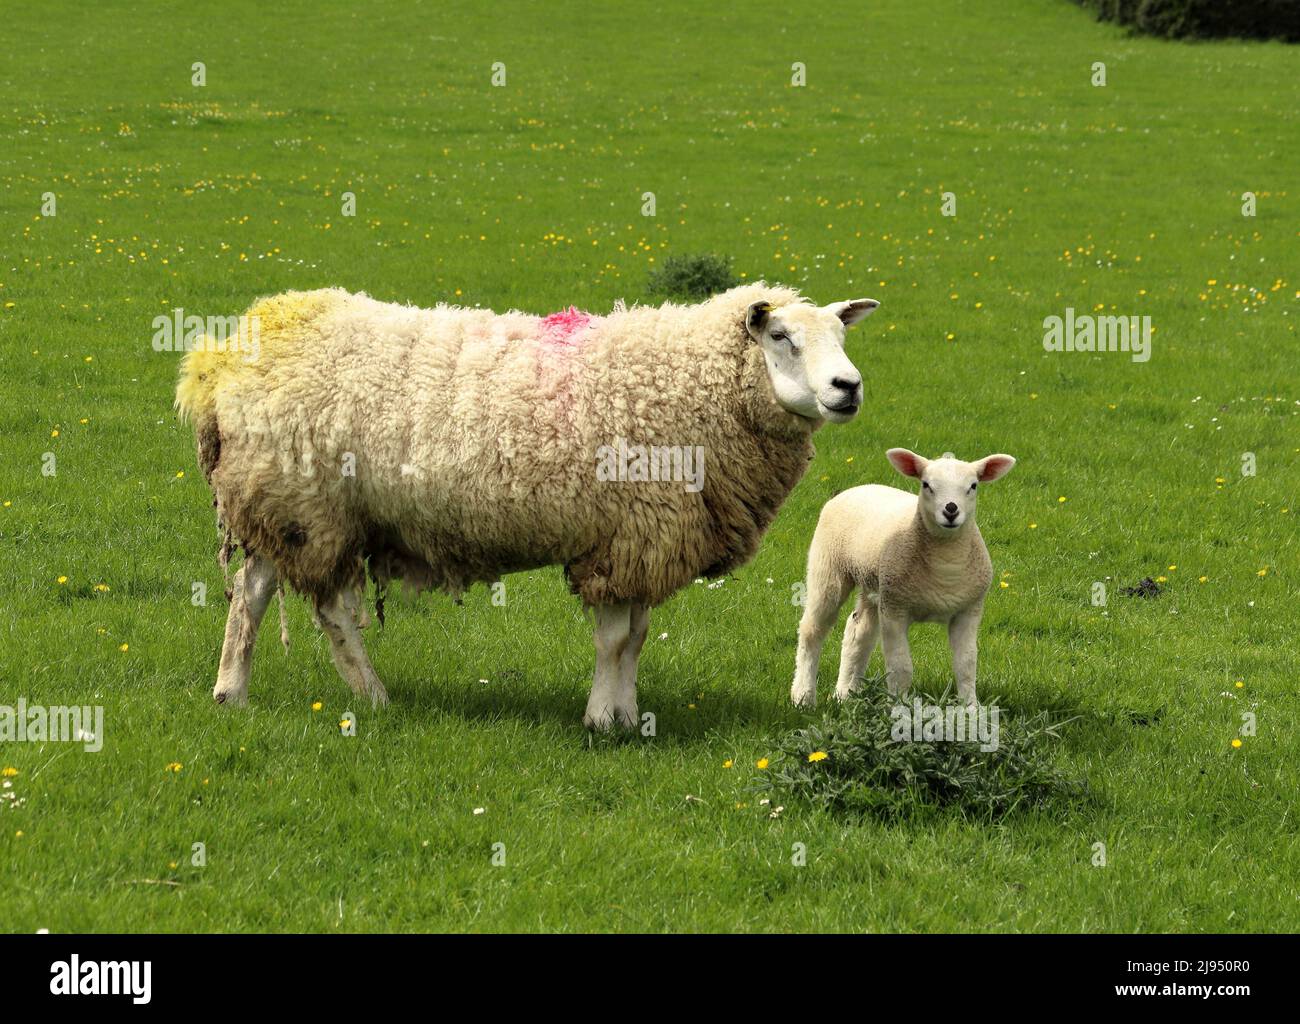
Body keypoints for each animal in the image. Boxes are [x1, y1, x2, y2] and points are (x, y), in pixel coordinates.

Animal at [176, 283, 880, 729]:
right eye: (781, 335)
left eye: (842, 335)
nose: (849, 387)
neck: (683, 383)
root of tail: (219, 362)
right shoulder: (623, 537)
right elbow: (614, 638)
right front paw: (602, 720)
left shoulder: (642, 541)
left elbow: (635, 637)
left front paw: (628, 714)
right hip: (309, 506)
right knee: (328, 610)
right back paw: (373, 698)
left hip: (283, 507)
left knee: (251, 594)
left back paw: (231, 694)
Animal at [791, 448, 1016, 709]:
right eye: (926, 484)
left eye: (973, 486)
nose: (951, 510)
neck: (946, 564)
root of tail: (858, 488)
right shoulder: (895, 610)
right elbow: (901, 666)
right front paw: (900, 707)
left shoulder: (969, 610)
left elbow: (966, 664)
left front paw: (971, 707)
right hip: (828, 570)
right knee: (812, 630)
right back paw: (803, 696)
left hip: (874, 583)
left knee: (859, 631)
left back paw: (845, 694)